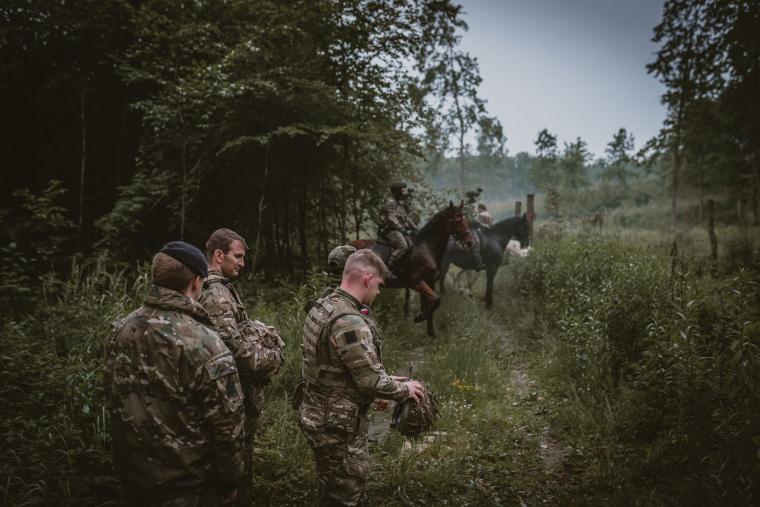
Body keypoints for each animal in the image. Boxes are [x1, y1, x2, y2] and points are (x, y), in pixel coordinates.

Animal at [348, 201, 472, 338]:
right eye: (456, 219)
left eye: (464, 218)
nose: (469, 242)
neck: (427, 247)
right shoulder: (416, 283)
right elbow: (435, 300)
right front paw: (420, 317)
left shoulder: (430, 282)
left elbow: (432, 304)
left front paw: (430, 332)